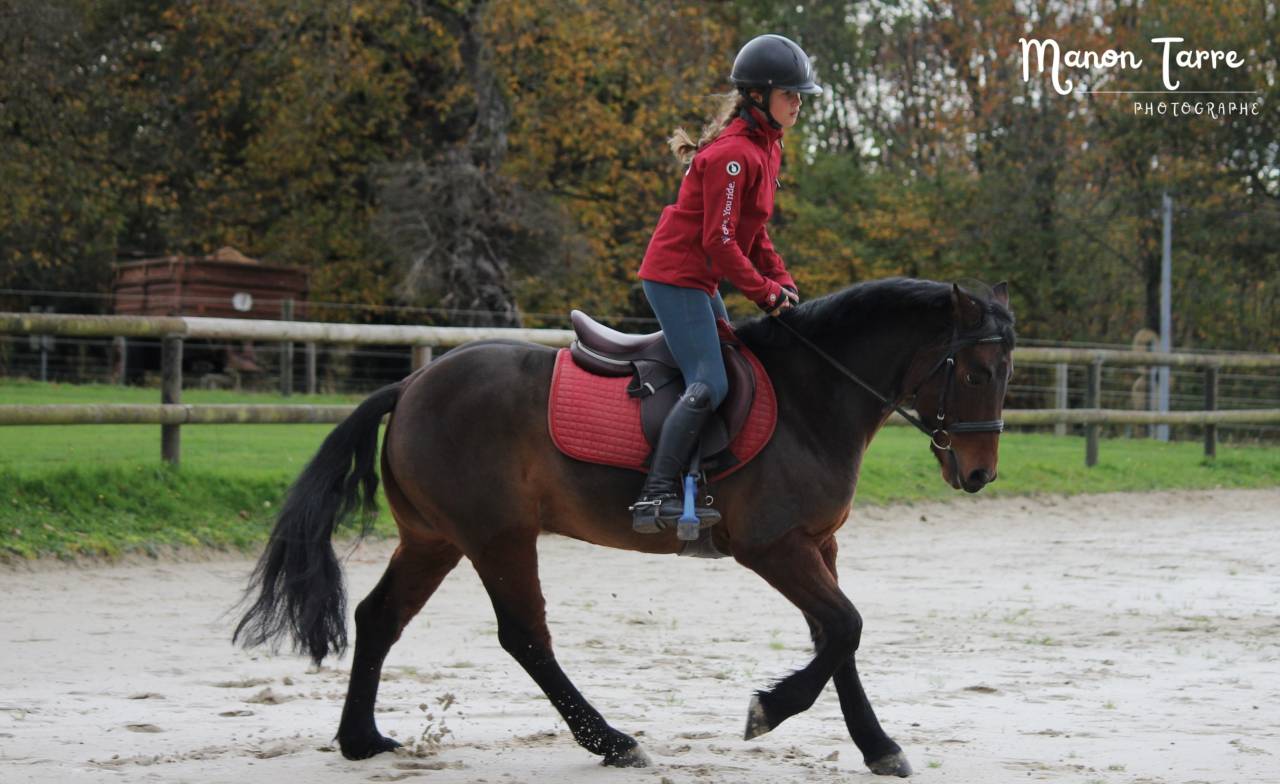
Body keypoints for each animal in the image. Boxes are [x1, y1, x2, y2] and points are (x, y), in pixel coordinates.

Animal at [234, 276, 1015, 778]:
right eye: (978, 372)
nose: (980, 474)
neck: (810, 395)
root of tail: (413, 383)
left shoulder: (820, 545)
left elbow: (837, 638)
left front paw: (877, 745)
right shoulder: (774, 548)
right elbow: (845, 627)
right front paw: (768, 710)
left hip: (436, 540)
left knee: (379, 617)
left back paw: (360, 738)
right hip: (498, 538)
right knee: (525, 637)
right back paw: (610, 741)